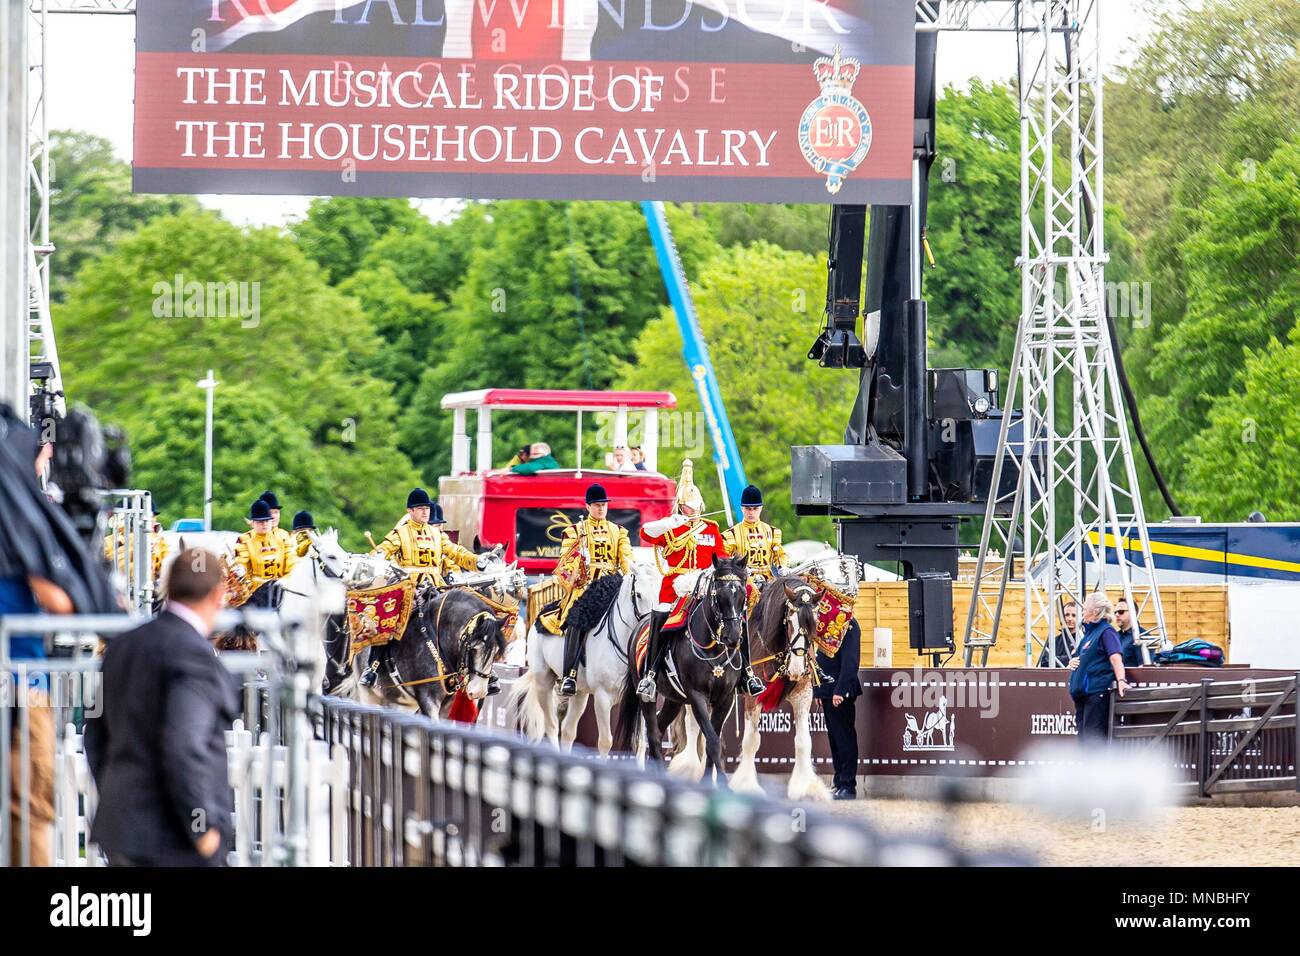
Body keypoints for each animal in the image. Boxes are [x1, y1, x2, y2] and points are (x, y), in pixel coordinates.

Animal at [506, 561, 660, 754]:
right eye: (638, 594)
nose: (649, 629)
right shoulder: (602, 698)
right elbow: (605, 742)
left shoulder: (639, 698)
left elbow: (639, 744)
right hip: (543, 681)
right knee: (552, 725)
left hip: (580, 691)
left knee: (568, 731)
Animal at [616, 554, 754, 785]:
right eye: (718, 594)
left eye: (742, 594)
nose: (733, 637)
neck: (714, 647)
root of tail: (640, 624)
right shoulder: (697, 696)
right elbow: (713, 741)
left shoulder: (725, 698)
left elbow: (713, 739)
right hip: (647, 695)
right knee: (653, 734)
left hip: (674, 699)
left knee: (660, 726)